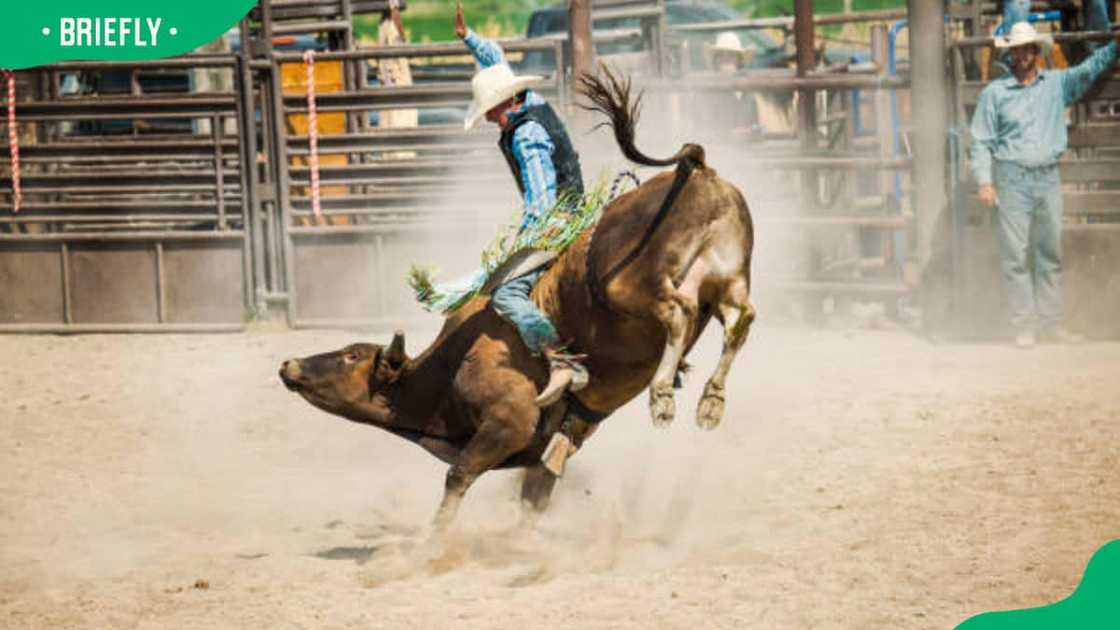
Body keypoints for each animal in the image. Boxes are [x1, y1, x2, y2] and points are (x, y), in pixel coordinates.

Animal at [275, 69, 757, 524]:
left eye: (351, 355)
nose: (289, 364)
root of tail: (699, 171)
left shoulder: (508, 423)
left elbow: (458, 477)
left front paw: (431, 546)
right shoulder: (553, 449)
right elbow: (533, 501)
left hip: (629, 286)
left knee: (679, 312)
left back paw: (662, 396)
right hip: (729, 278)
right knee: (740, 319)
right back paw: (710, 401)